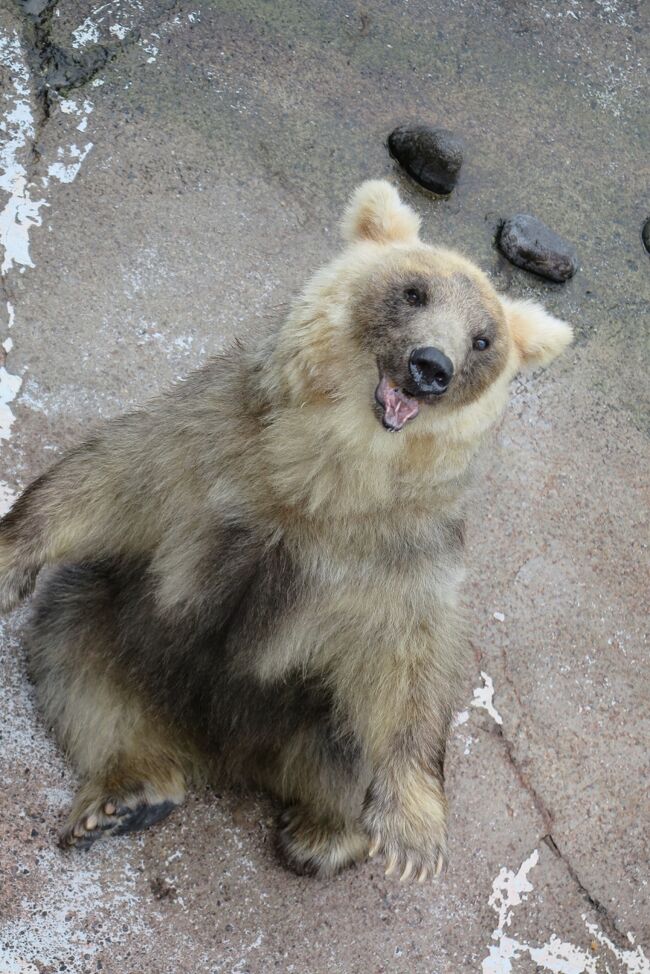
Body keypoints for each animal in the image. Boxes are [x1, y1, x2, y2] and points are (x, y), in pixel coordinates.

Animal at [0, 183, 568, 884]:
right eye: (414, 292)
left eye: (484, 339)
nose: (432, 366)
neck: (325, 477)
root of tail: (225, 754)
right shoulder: (215, 445)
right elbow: (110, 478)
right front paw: (9, 559)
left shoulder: (402, 545)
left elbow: (411, 656)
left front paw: (412, 839)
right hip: (129, 621)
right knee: (74, 651)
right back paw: (126, 796)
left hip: (308, 704)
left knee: (349, 741)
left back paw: (321, 834)